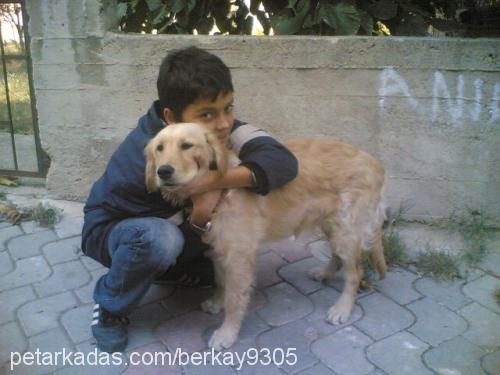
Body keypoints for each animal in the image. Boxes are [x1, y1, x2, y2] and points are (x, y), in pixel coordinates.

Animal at [145, 123, 386, 352]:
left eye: (186, 145)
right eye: (159, 148)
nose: (163, 171)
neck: (221, 190)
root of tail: (374, 162)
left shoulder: (239, 258)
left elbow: (234, 299)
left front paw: (227, 333)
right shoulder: (220, 250)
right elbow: (221, 282)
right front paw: (217, 303)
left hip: (346, 229)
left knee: (355, 272)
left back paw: (342, 308)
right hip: (332, 225)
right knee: (338, 257)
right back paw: (324, 274)